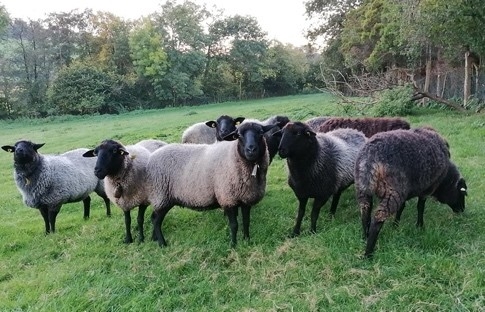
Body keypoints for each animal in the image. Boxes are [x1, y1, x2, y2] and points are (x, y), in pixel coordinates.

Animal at [147, 121, 276, 246]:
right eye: (238, 135)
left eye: (260, 132)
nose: (251, 150)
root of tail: (151, 158)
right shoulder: (227, 198)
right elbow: (234, 225)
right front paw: (233, 245)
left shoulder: (246, 199)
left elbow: (246, 222)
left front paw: (247, 240)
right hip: (161, 196)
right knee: (156, 220)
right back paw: (162, 243)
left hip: (163, 198)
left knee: (154, 218)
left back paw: (154, 238)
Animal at [354, 127, 466, 258]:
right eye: (462, 194)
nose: (462, 210)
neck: (445, 179)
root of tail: (370, 158)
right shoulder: (426, 189)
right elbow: (420, 207)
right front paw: (420, 226)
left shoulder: (406, 191)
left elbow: (401, 208)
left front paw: (396, 224)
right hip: (394, 190)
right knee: (378, 217)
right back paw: (369, 253)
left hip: (363, 188)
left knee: (365, 212)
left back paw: (364, 237)